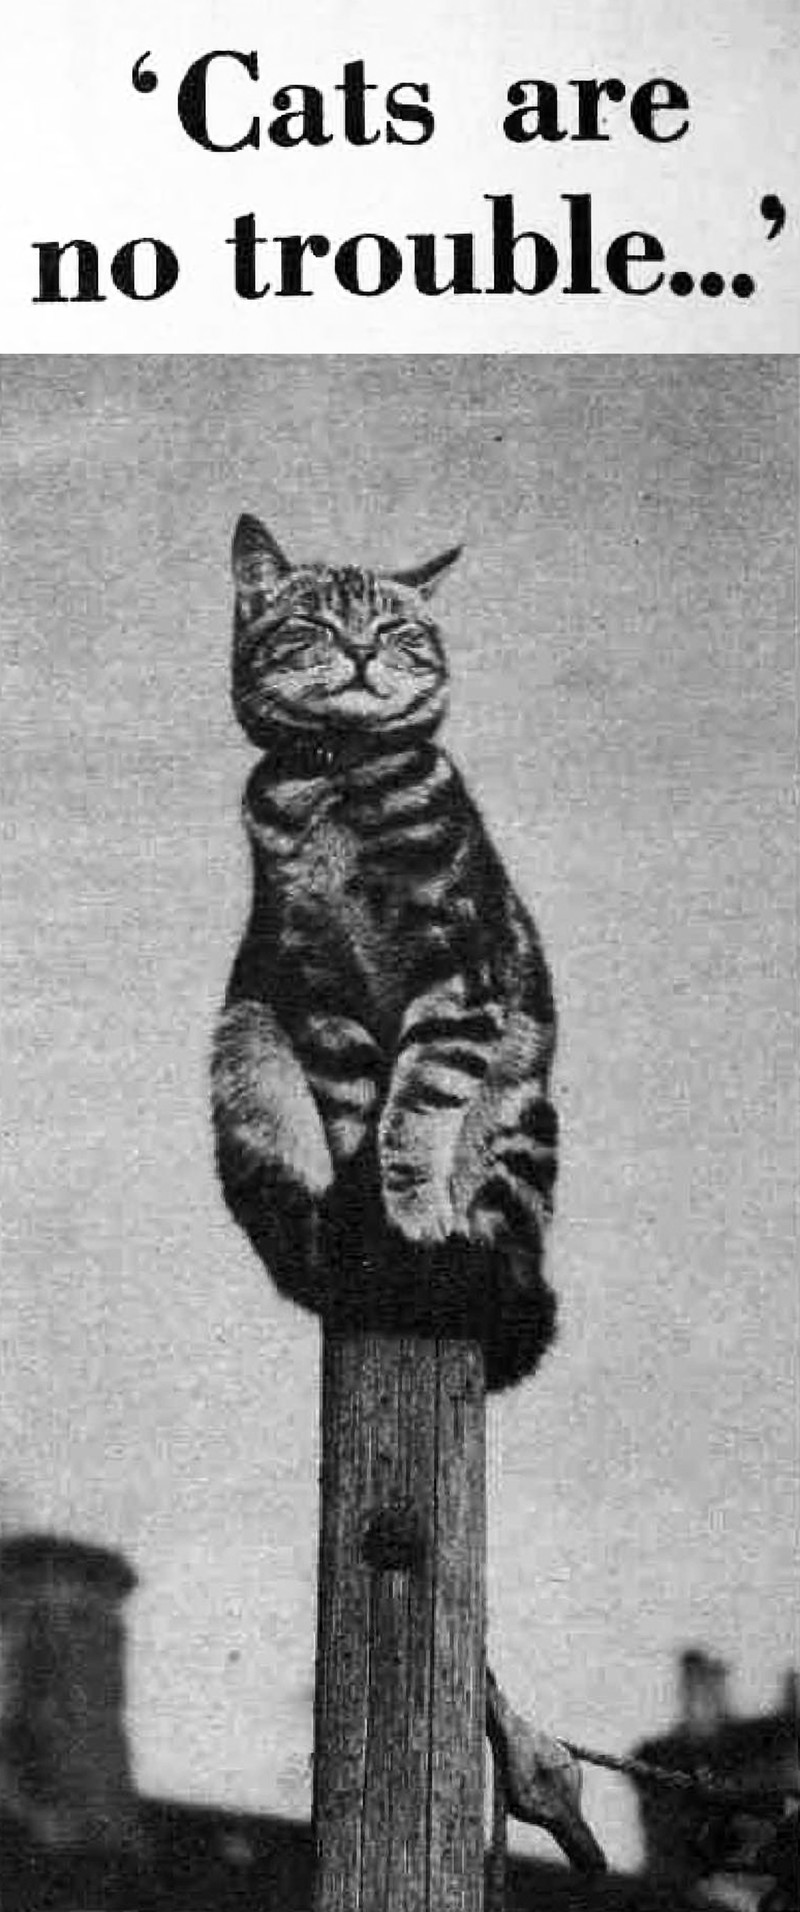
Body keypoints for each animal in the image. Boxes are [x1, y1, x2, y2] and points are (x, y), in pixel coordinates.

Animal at [211, 515, 559, 1391]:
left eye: (396, 628)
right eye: (314, 623)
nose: (364, 651)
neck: (342, 787)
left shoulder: (459, 979)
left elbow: (415, 1111)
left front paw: (413, 1217)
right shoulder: (317, 985)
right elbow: (353, 1117)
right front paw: (367, 1215)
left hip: (519, 1119)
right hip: (244, 1057)